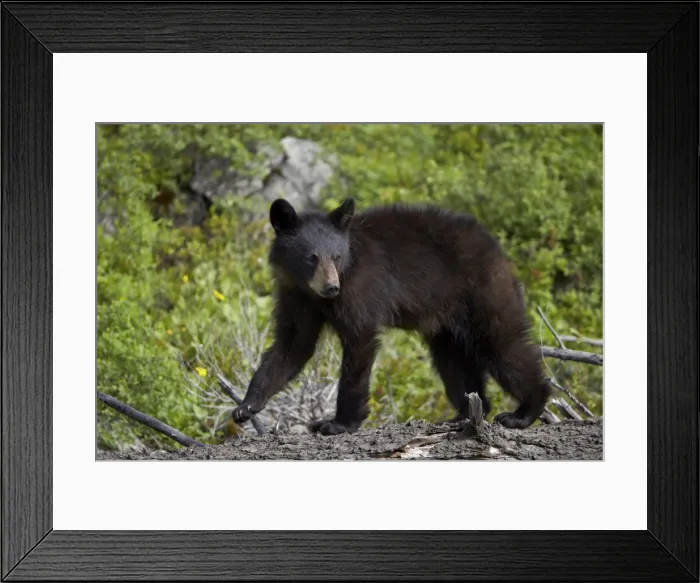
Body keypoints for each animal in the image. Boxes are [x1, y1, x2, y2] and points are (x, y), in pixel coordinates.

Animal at [232, 197, 551, 435]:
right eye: (312, 257)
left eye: (336, 257)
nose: (332, 287)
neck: (315, 293)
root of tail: (498, 249)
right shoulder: (296, 297)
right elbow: (292, 345)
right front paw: (246, 406)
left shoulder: (359, 288)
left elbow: (359, 342)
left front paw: (338, 423)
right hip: (447, 322)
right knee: (454, 363)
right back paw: (462, 414)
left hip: (482, 294)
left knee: (503, 344)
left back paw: (523, 412)